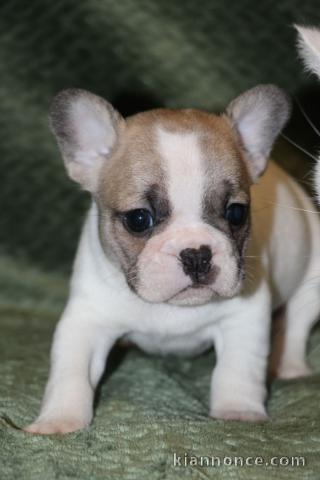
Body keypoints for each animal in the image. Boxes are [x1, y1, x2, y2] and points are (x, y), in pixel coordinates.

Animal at [24, 83, 320, 436]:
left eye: (236, 213)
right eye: (139, 219)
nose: (196, 254)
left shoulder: (244, 318)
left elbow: (238, 369)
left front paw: (238, 411)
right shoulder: (87, 317)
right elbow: (72, 371)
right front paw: (59, 419)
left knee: (297, 323)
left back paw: (289, 366)